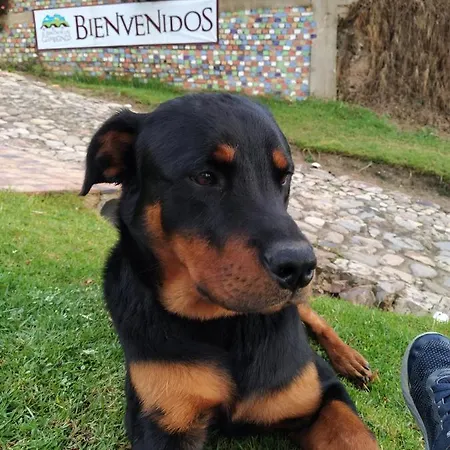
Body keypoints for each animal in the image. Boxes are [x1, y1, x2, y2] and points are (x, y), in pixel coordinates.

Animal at [80, 93, 377, 449]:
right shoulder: (163, 420)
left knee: (315, 318)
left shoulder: (321, 391)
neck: (225, 327)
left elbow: (356, 434)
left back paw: (350, 358)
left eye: (285, 177)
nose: (301, 267)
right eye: (205, 177)